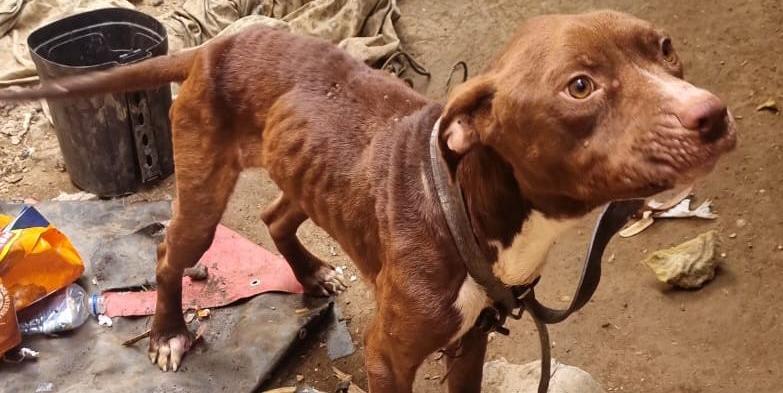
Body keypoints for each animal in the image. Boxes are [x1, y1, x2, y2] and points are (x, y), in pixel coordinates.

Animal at [0, 10, 736, 390]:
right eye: (580, 86)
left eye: (664, 47)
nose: (711, 114)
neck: (468, 209)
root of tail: (214, 45)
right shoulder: (390, 358)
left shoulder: (470, 346)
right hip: (204, 194)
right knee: (169, 256)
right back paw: (168, 336)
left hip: (304, 174)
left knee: (274, 216)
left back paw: (309, 274)